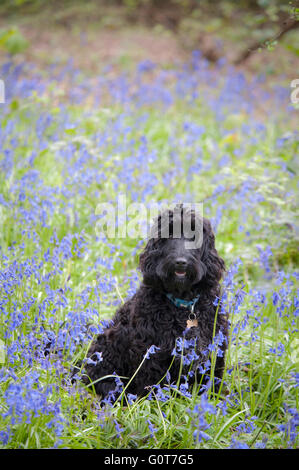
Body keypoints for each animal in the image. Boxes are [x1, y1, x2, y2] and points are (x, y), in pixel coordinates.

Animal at [81, 205, 229, 400]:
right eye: (169, 234)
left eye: (193, 236)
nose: (180, 262)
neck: (184, 305)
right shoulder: (152, 355)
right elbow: (151, 386)